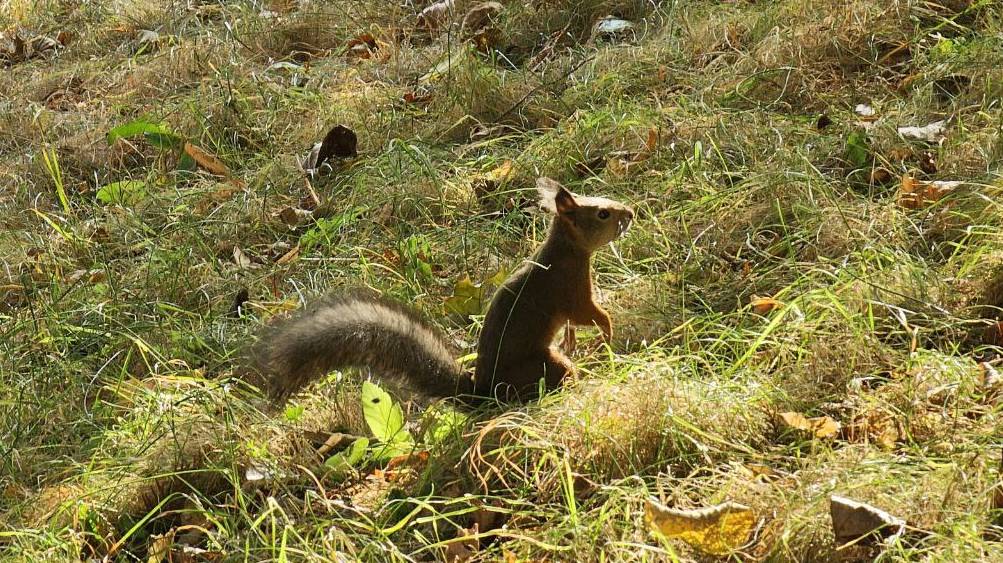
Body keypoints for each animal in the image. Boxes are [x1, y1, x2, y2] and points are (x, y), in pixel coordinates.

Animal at [254, 177, 633, 401]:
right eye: (602, 213)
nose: (630, 212)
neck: (565, 249)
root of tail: (486, 392)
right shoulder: (568, 287)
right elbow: (589, 313)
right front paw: (608, 330)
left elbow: (572, 325)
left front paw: (575, 340)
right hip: (543, 367)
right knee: (557, 376)